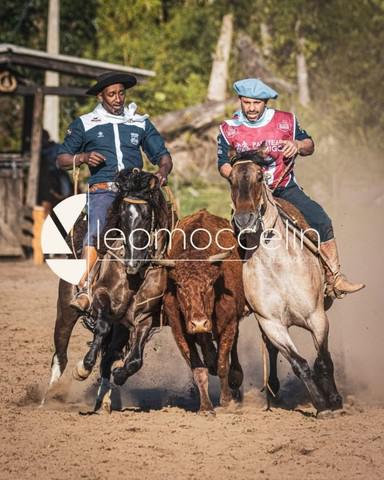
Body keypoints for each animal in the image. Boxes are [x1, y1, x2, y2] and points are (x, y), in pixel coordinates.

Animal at [42, 168, 172, 408]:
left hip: (120, 329)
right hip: (65, 311)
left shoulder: (144, 318)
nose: (132, 261)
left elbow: (135, 360)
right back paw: (48, 396)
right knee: (60, 355)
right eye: (122, 215)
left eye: (146, 215)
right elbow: (101, 328)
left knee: (108, 357)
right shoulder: (101, 299)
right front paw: (83, 368)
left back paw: (104, 398)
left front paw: (120, 374)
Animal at [228, 150, 342, 416]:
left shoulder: (316, 316)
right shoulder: (272, 323)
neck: (277, 266)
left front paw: (334, 400)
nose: (244, 219)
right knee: (271, 349)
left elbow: (323, 360)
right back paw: (273, 390)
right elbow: (299, 364)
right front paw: (321, 405)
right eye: (230, 179)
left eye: (259, 177)